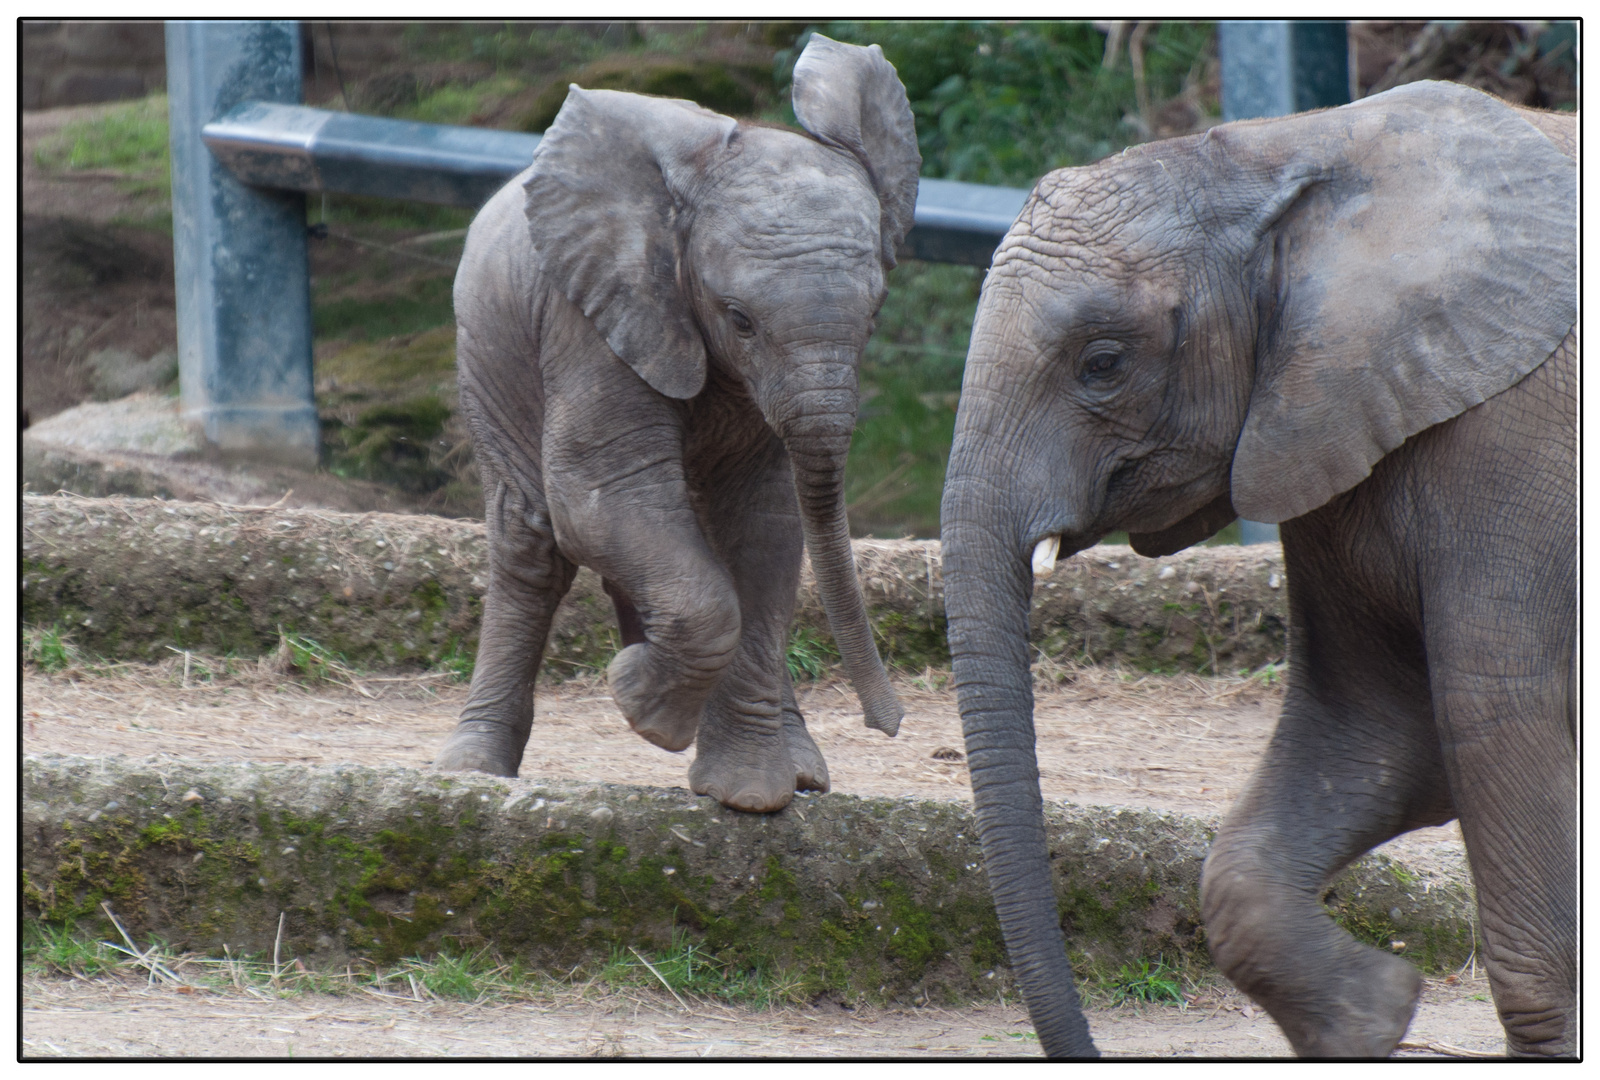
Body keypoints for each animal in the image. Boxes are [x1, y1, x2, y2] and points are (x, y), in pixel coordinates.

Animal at [435, 36, 928, 812]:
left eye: (875, 312)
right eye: (740, 320)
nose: (891, 723)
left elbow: (763, 523)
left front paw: (746, 792)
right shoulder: (594, 312)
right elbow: (601, 495)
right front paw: (645, 707)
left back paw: (800, 770)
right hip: (488, 354)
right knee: (534, 541)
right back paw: (475, 767)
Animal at [934, 80, 1574, 1062]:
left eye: (1102, 364)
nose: (1087, 1048)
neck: (1290, 153)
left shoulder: (1515, 442)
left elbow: (1495, 718)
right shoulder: (1323, 430)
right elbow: (1378, 727)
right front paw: (1372, 1016)